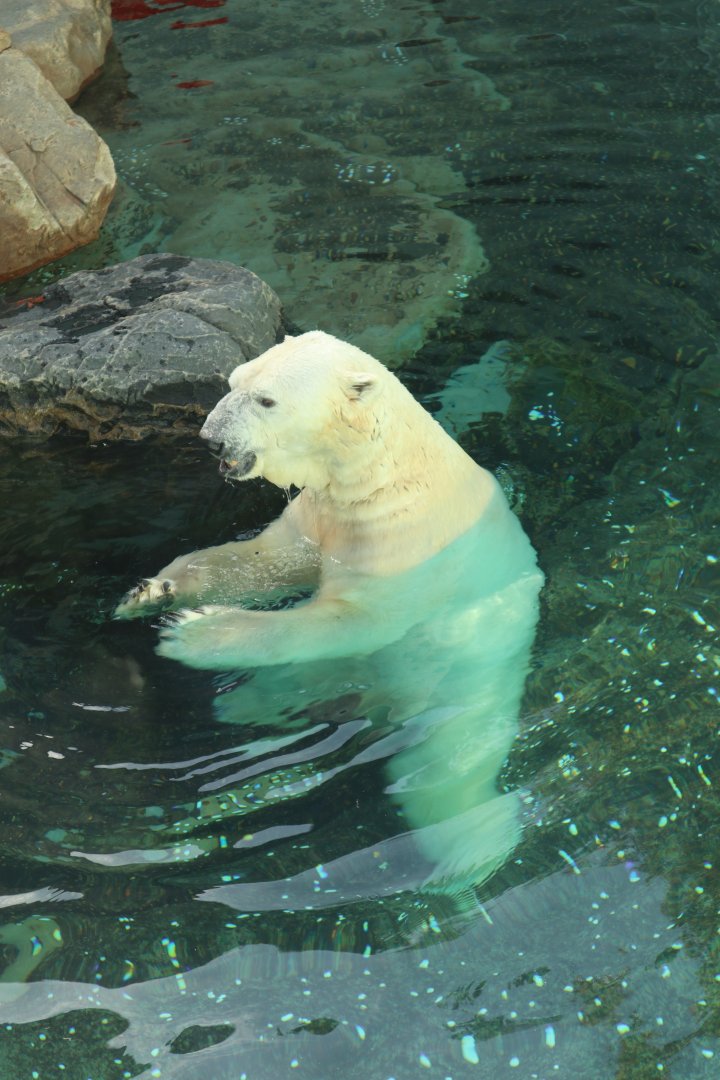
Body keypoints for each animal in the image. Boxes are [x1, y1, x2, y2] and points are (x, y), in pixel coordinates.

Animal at [116, 331, 543, 897]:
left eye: (267, 400)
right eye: (233, 381)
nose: (211, 440)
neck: (381, 478)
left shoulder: (403, 547)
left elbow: (350, 619)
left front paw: (195, 632)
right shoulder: (321, 516)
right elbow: (266, 558)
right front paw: (153, 591)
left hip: (466, 679)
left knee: (443, 771)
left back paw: (469, 859)